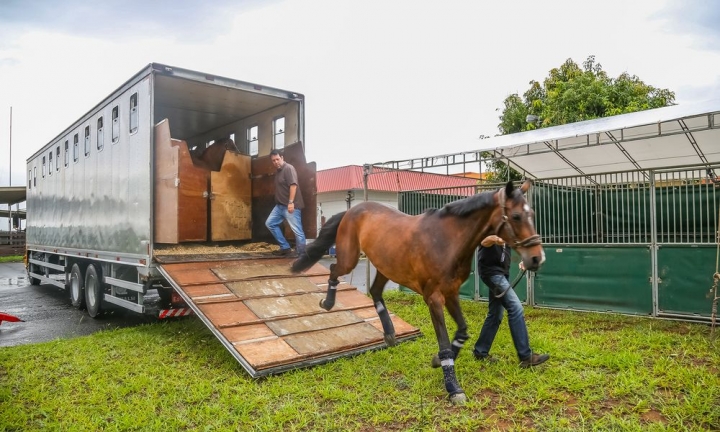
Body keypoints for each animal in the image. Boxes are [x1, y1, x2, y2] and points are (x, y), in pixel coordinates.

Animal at [290, 179, 544, 402]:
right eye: (516, 216)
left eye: (531, 215)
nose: (536, 259)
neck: (447, 241)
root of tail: (352, 209)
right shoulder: (434, 298)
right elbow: (445, 344)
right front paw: (453, 388)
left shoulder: (451, 293)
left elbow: (462, 332)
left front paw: (437, 361)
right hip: (350, 258)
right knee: (335, 270)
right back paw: (328, 303)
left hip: (386, 266)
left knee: (375, 291)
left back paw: (390, 333)